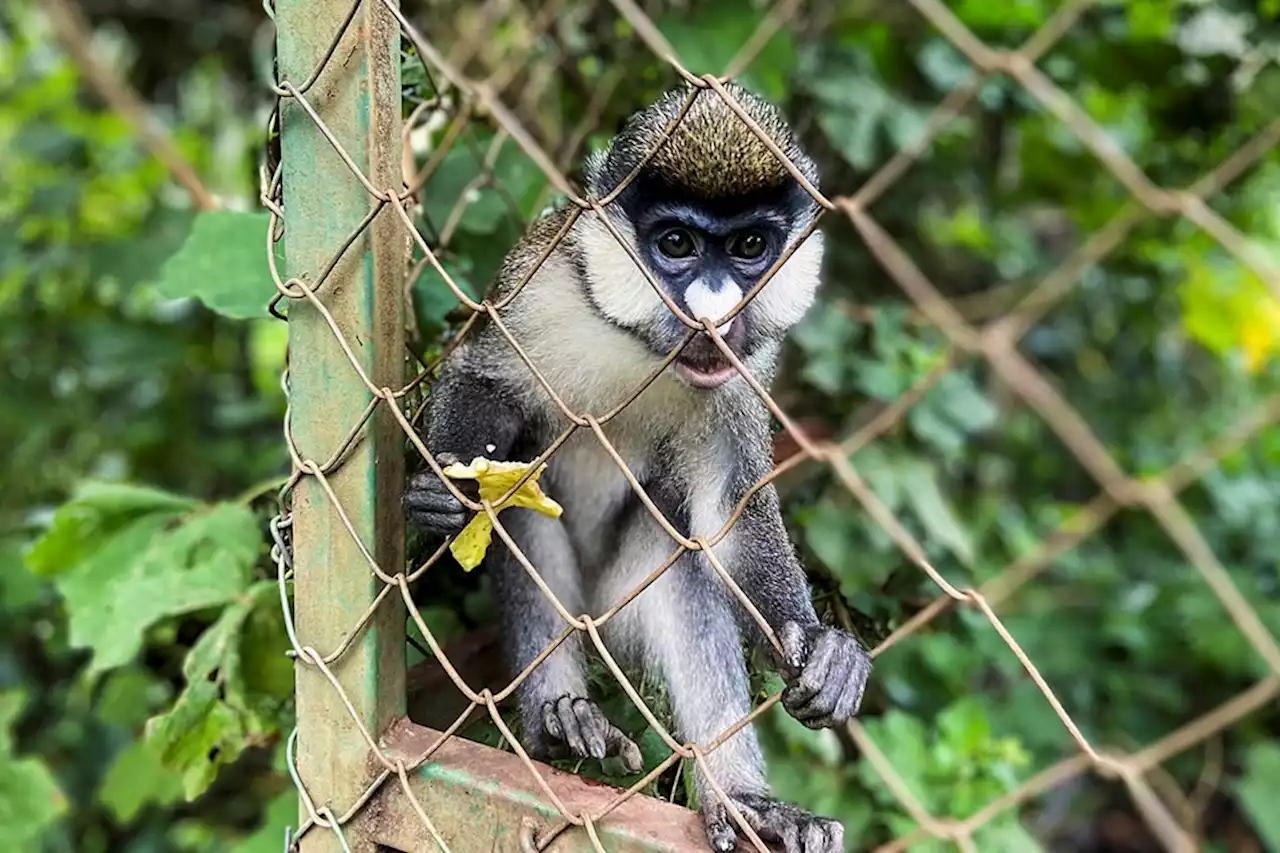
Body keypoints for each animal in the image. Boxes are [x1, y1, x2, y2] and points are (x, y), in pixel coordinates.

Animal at [407, 79, 870, 850]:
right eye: (675, 244)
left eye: (750, 246)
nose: (713, 312)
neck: (647, 350)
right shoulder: (543, 287)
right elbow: (484, 378)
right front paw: (444, 496)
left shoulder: (742, 376)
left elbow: (724, 518)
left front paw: (821, 648)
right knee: (525, 496)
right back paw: (559, 717)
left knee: (680, 557)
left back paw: (743, 801)